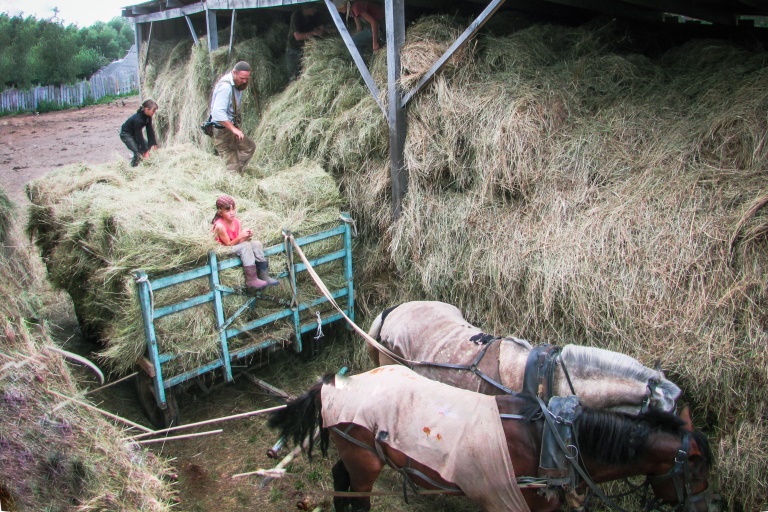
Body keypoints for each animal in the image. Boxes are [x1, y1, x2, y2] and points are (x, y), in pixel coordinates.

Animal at [268, 366, 712, 510]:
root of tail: (336, 384)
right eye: (697, 471)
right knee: (357, 496)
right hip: (366, 463)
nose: (712, 505)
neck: (555, 442)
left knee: (340, 479)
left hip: (357, 453)